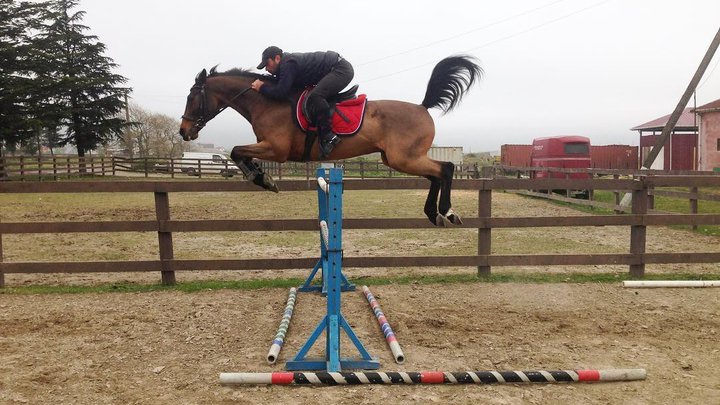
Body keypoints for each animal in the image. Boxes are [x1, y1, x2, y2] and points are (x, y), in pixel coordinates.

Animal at [179, 55, 482, 226]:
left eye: (192, 97)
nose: (184, 131)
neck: (267, 101)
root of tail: (422, 107)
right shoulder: (269, 148)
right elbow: (239, 153)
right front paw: (260, 176)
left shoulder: (276, 150)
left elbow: (235, 151)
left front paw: (262, 179)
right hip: (400, 159)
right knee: (436, 175)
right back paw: (434, 213)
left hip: (403, 158)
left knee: (445, 169)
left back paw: (447, 212)